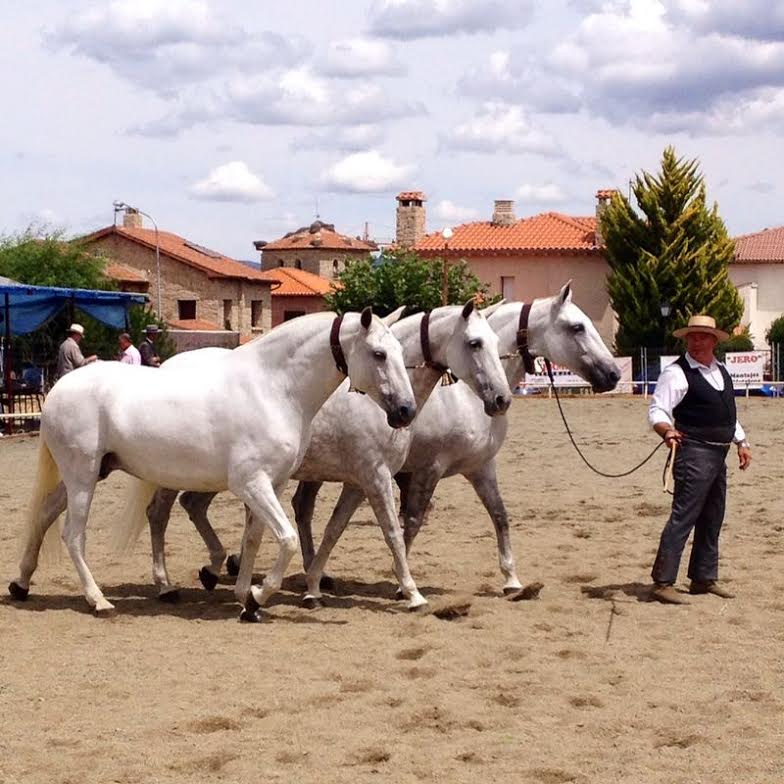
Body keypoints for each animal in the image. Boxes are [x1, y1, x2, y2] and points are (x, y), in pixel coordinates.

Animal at [9, 306, 416, 620]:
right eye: (379, 354)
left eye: (400, 350)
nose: (406, 411)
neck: (272, 388)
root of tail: (57, 390)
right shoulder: (251, 483)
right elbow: (286, 540)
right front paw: (257, 595)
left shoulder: (271, 484)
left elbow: (253, 540)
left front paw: (245, 600)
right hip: (83, 476)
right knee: (73, 535)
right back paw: (99, 601)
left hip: (90, 473)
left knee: (44, 516)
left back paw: (21, 584)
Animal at [132, 300, 512, 612]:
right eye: (475, 343)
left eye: (496, 343)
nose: (502, 399)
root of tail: (165, 367)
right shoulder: (376, 476)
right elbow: (392, 530)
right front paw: (412, 592)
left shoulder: (359, 482)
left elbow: (334, 529)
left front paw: (313, 586)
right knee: (159, 515)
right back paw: (167, 585)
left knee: (193, 506)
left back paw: (214, 570)